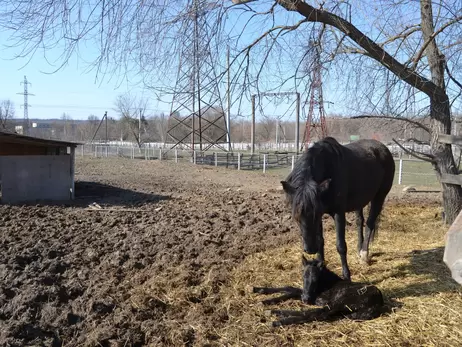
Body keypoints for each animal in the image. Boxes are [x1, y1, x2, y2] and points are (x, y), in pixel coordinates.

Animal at [251, 256, 384, 328]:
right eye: (303, 276)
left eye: (315, 279)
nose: (305, 300)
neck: (327, 283)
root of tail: (377, 303)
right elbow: (290, 288)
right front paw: (260, 292)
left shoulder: (318, 298)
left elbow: (292, 291)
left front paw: (265, 301)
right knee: (315, 313)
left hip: (340, 301)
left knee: (318, 314)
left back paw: (276, 319)